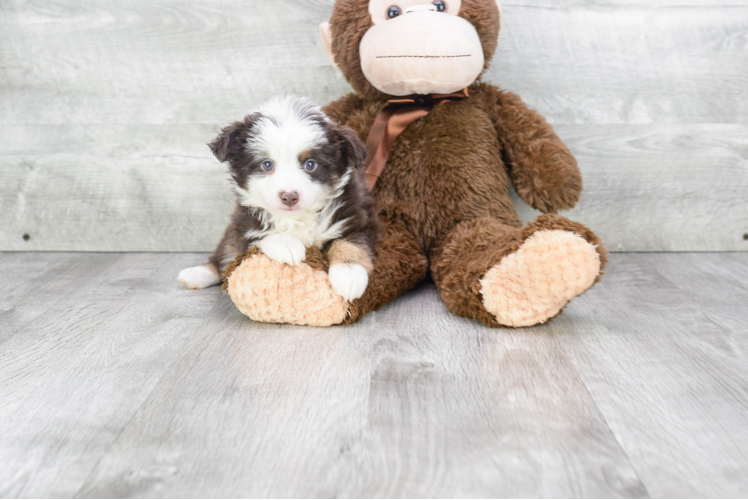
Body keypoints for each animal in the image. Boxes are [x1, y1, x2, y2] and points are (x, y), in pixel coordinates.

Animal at [177, 96, 380, 302]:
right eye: (267, 164)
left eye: (310, 164)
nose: (289, 196)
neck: (297, 219)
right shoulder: (244, 223)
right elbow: (258, 236)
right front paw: (287, 245)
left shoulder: (358, 217)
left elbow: (350, 243)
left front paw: (349, 274)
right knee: (224, 254)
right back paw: (196, 274)